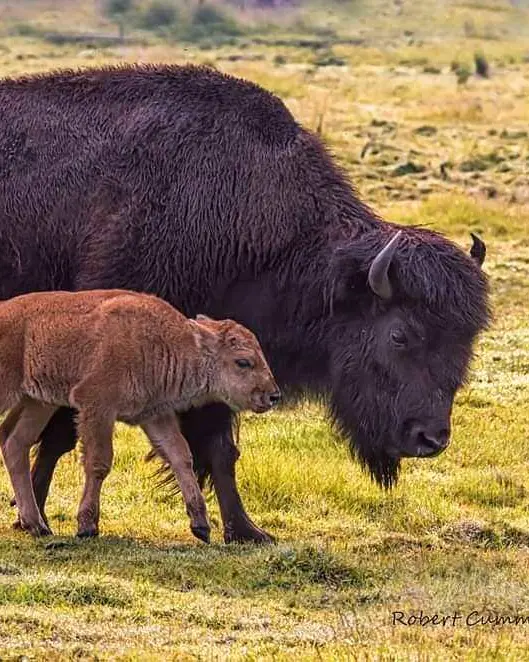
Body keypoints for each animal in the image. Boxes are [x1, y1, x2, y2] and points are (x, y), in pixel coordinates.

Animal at [0, 64, 490, 543]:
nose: (431, 438)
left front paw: (246, 530)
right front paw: (35, 515)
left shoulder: (218, 363)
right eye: (400, 334)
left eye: (467, 341)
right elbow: (60, 436)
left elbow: (220, 449)